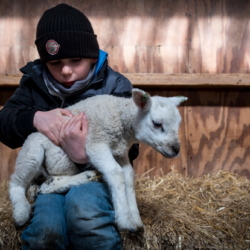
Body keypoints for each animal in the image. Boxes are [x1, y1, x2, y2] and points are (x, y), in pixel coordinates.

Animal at [8, 88, 187, 232]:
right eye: (157, 124)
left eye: (178, 124)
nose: (176, 149)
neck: (121, 122)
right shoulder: (96, 144)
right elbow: (115, 173)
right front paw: (125, 219)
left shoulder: (120, 153)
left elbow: (128, 175)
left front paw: (135, 219)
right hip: (31, 151)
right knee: (16, 182)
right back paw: (21, 212)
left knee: (46, 185)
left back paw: (73, 179)